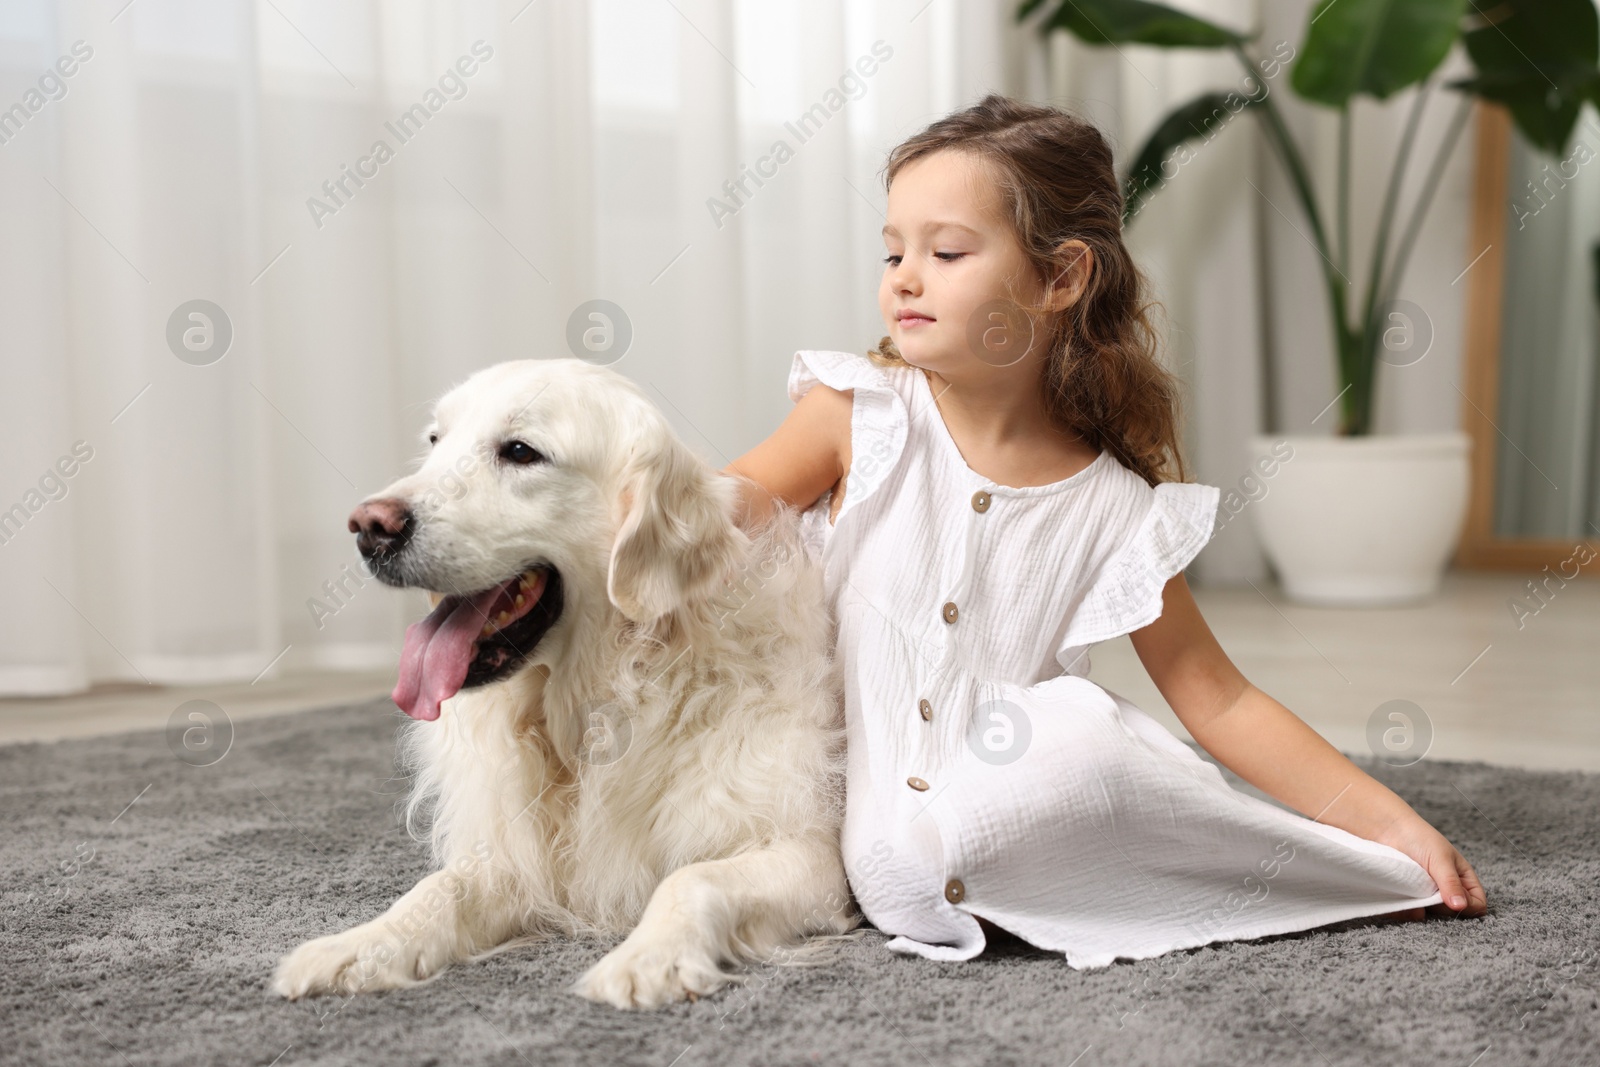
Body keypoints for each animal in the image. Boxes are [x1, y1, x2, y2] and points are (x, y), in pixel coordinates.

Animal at [268, 358, 857, 1011]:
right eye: (435, 441)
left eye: (521, 451)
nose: (369, 527)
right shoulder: (511, 860)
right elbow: (437, 890)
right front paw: (356, 946)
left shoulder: (811, 857)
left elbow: (691, 878)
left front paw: (647, 957)